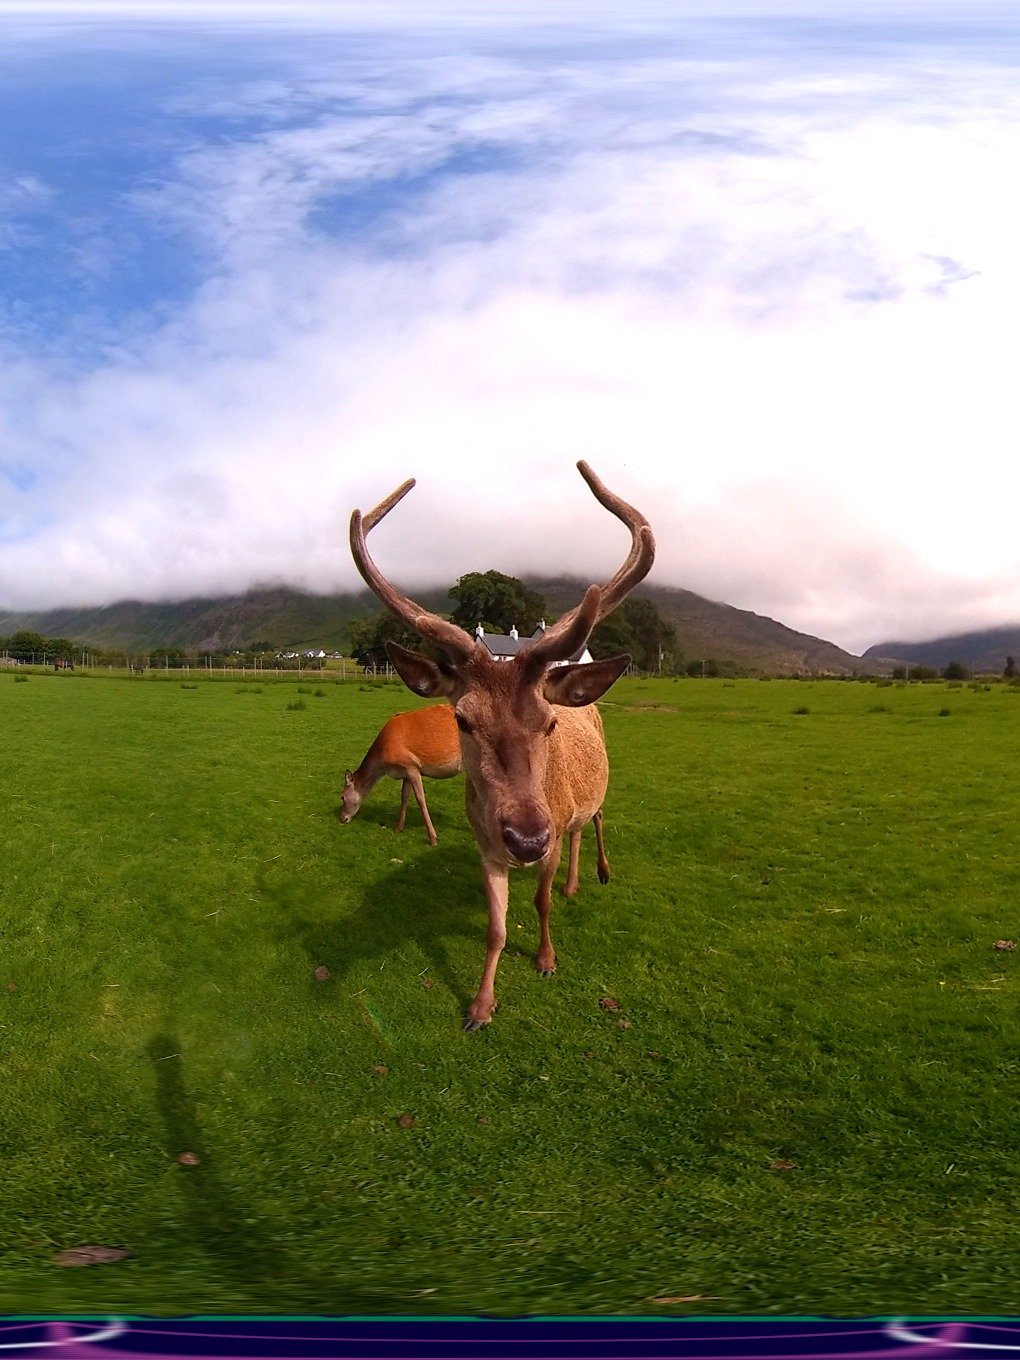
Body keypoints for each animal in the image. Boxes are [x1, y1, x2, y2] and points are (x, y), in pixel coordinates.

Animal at [339, 704, 461, 845]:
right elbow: (404, 796)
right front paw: (398, 828)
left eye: (342, 797)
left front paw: (433, 838)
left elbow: (420, 799)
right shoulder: (406, 771)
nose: (342, 818)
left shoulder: (412, 766)